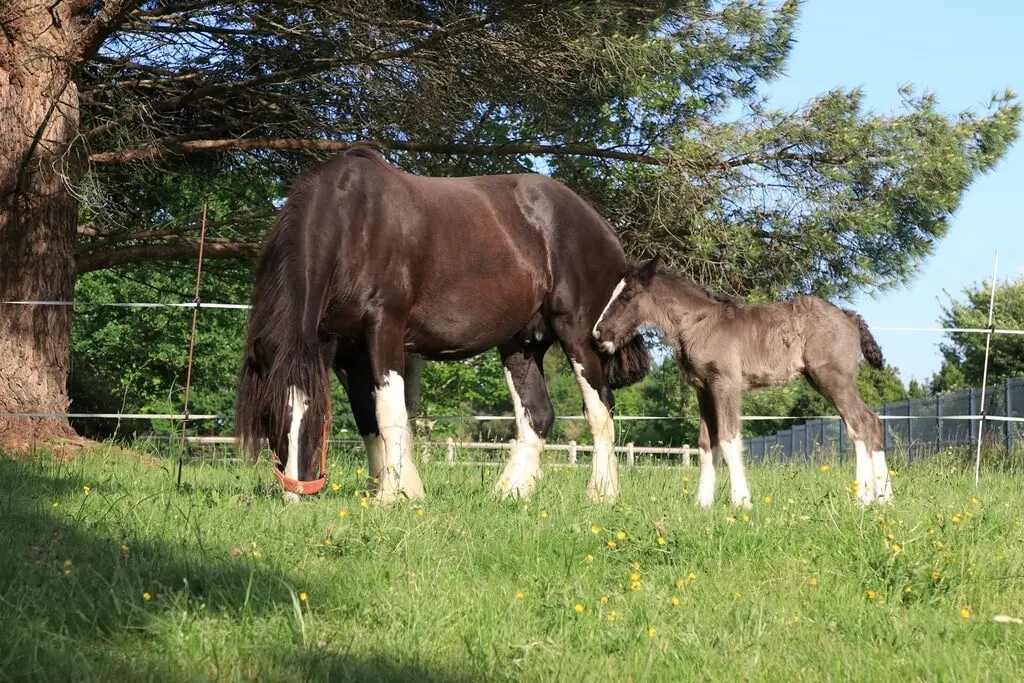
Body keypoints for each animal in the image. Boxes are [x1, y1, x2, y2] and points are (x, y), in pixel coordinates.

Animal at [236, 147, 650, 504]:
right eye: (268, 414)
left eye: (320, 414)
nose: (296, 494)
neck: (354, 225)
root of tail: (603, 228)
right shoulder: (345, 352)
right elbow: (368, 419)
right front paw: (384, 489)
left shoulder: (384, 329)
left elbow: (391, 413)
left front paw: (395, 496)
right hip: (521, 343)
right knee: (538, 414)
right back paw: (510, 494)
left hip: (578, 334)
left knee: (600, 410)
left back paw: (601, 495)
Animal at [592, 256, 893, 508]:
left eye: (627, 295)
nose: (598, 333)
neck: (698, 324)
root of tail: (849, 316)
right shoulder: (703, 389)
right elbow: (706, 444)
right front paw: (703, 504)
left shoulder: (725, 384)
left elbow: (728, 439)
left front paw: (741, 501)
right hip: (822, 380)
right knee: (871, 420)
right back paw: (884, 498)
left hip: (832, 377)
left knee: (859, 423)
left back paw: (863, 498)